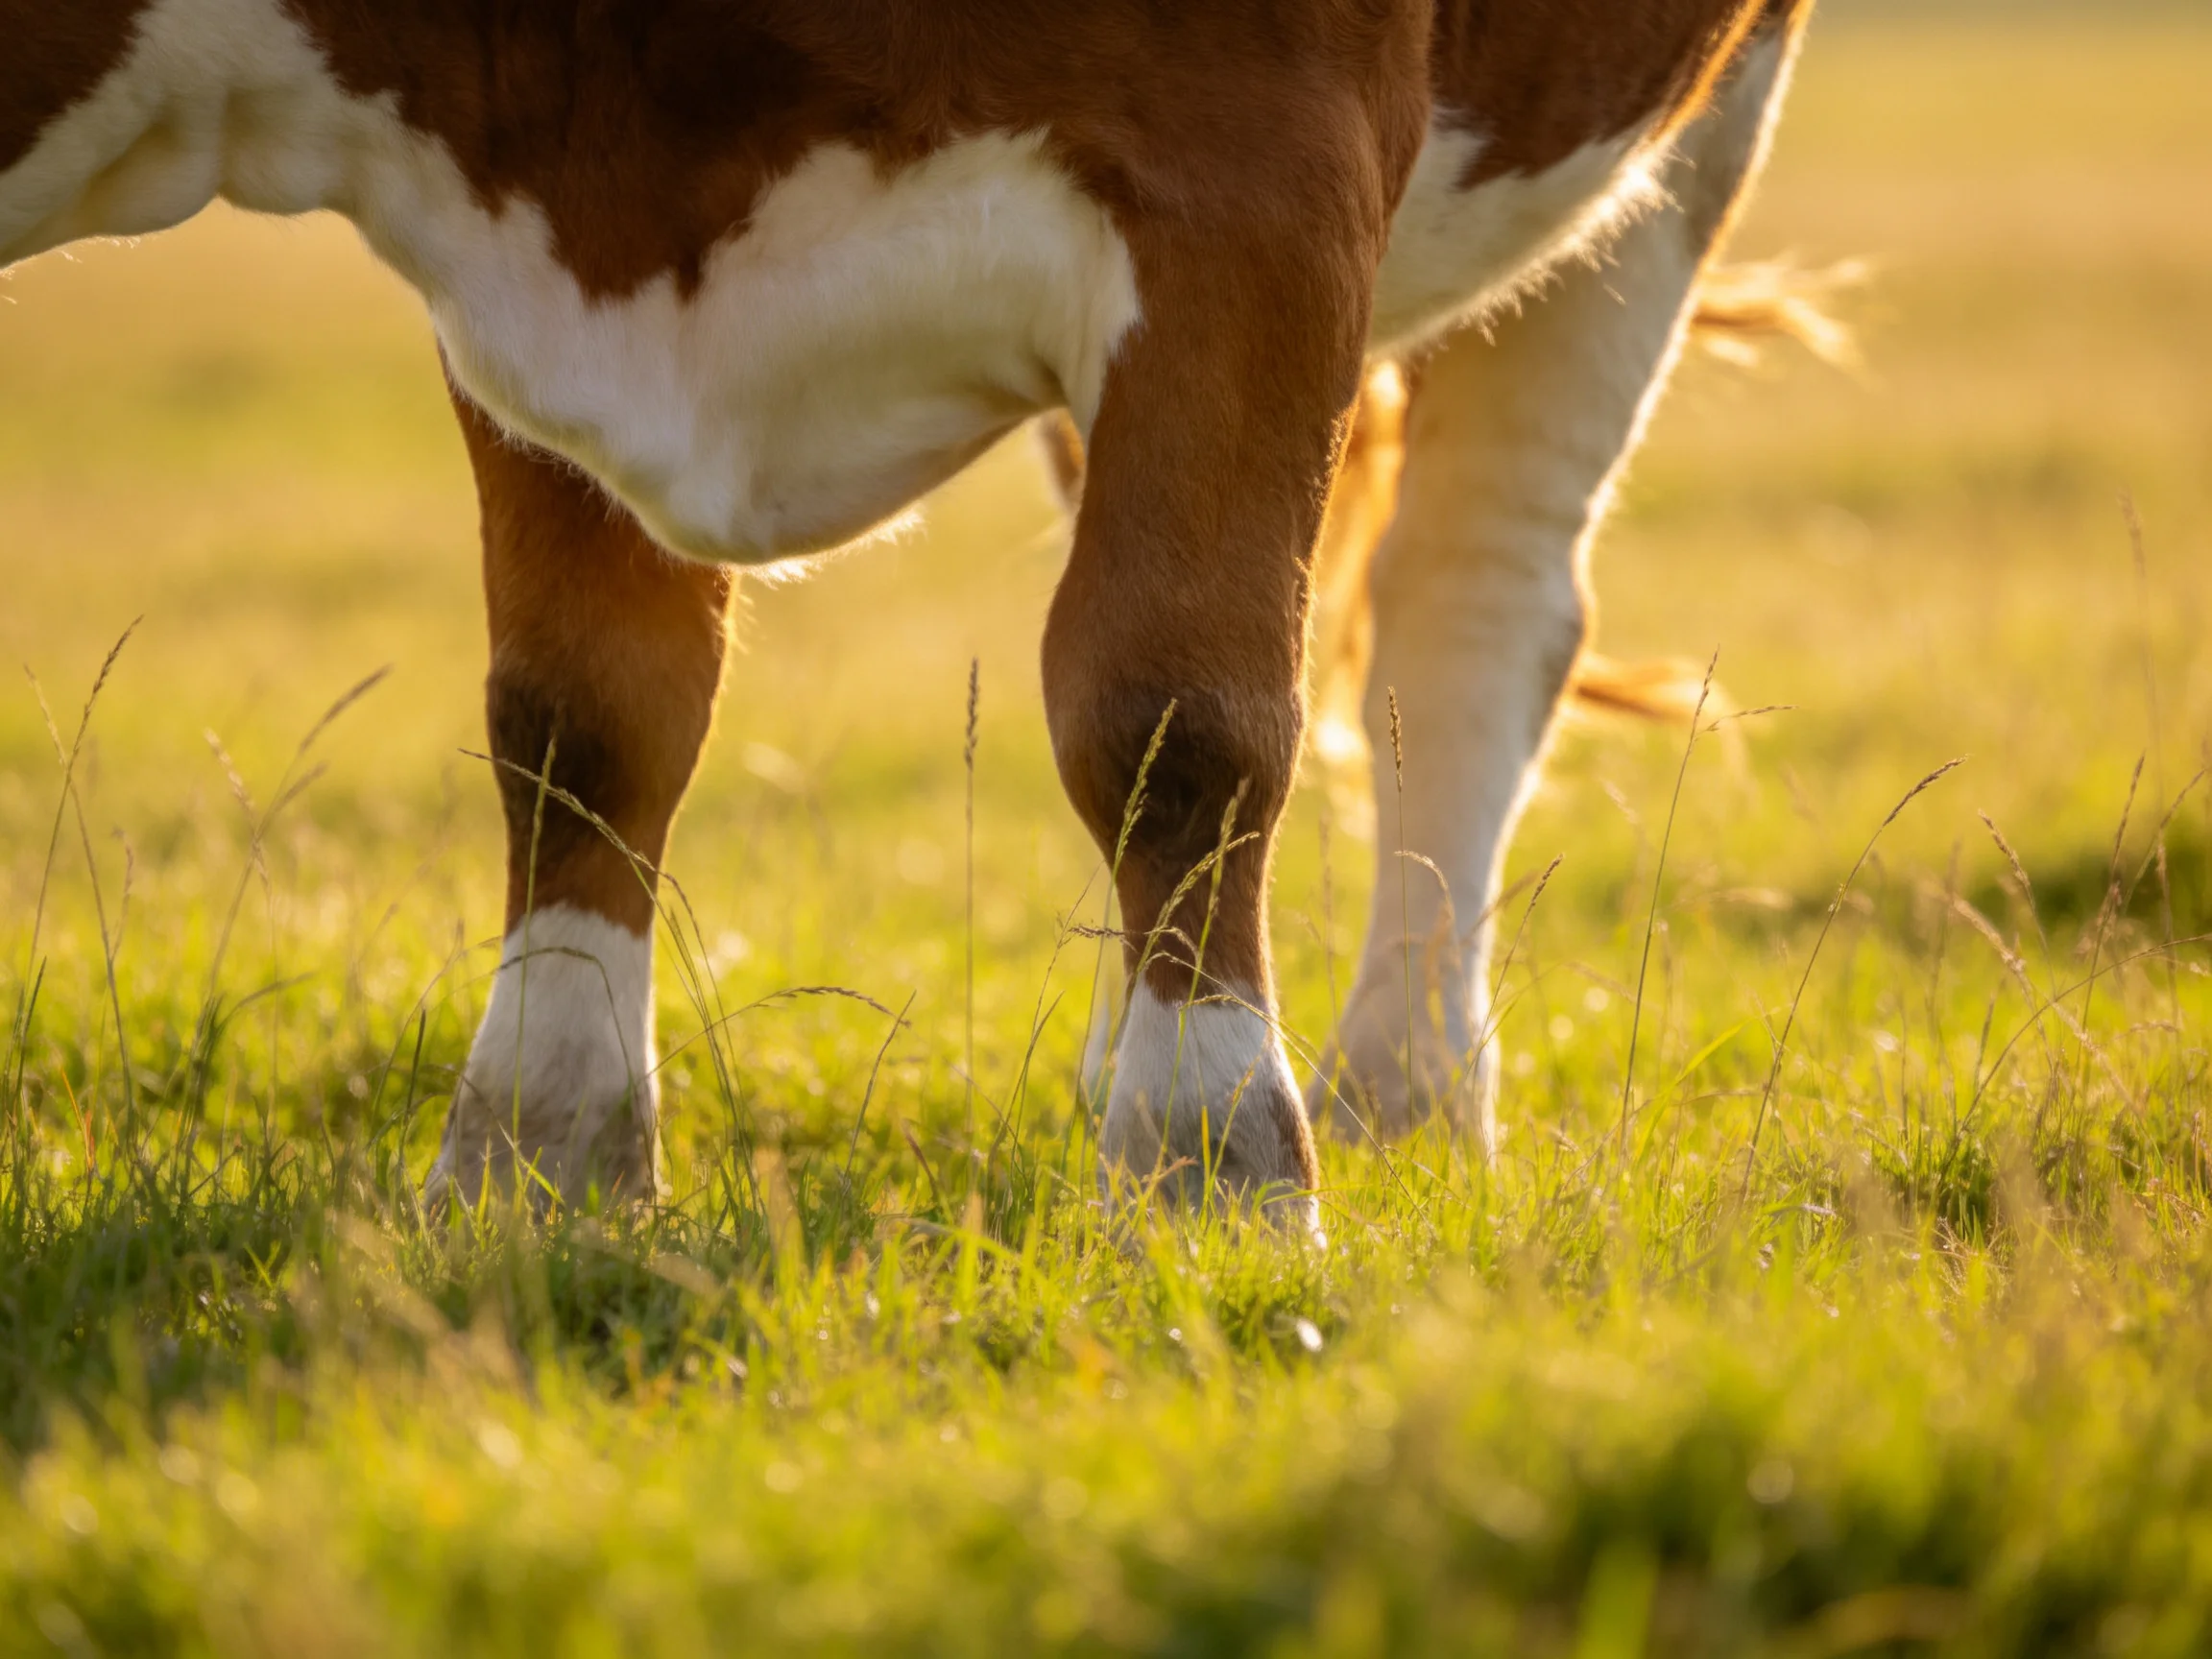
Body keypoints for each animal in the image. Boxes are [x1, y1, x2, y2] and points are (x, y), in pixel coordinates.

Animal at [2, 0, 1819, 1234]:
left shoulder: (1260, 174)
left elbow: (1175, 703)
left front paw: (1216, 1159)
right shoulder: (532, 271)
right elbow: (586, 709)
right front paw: (540, 1152)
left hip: (1678, 140)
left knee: (1470, 603)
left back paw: (1401, 1093)